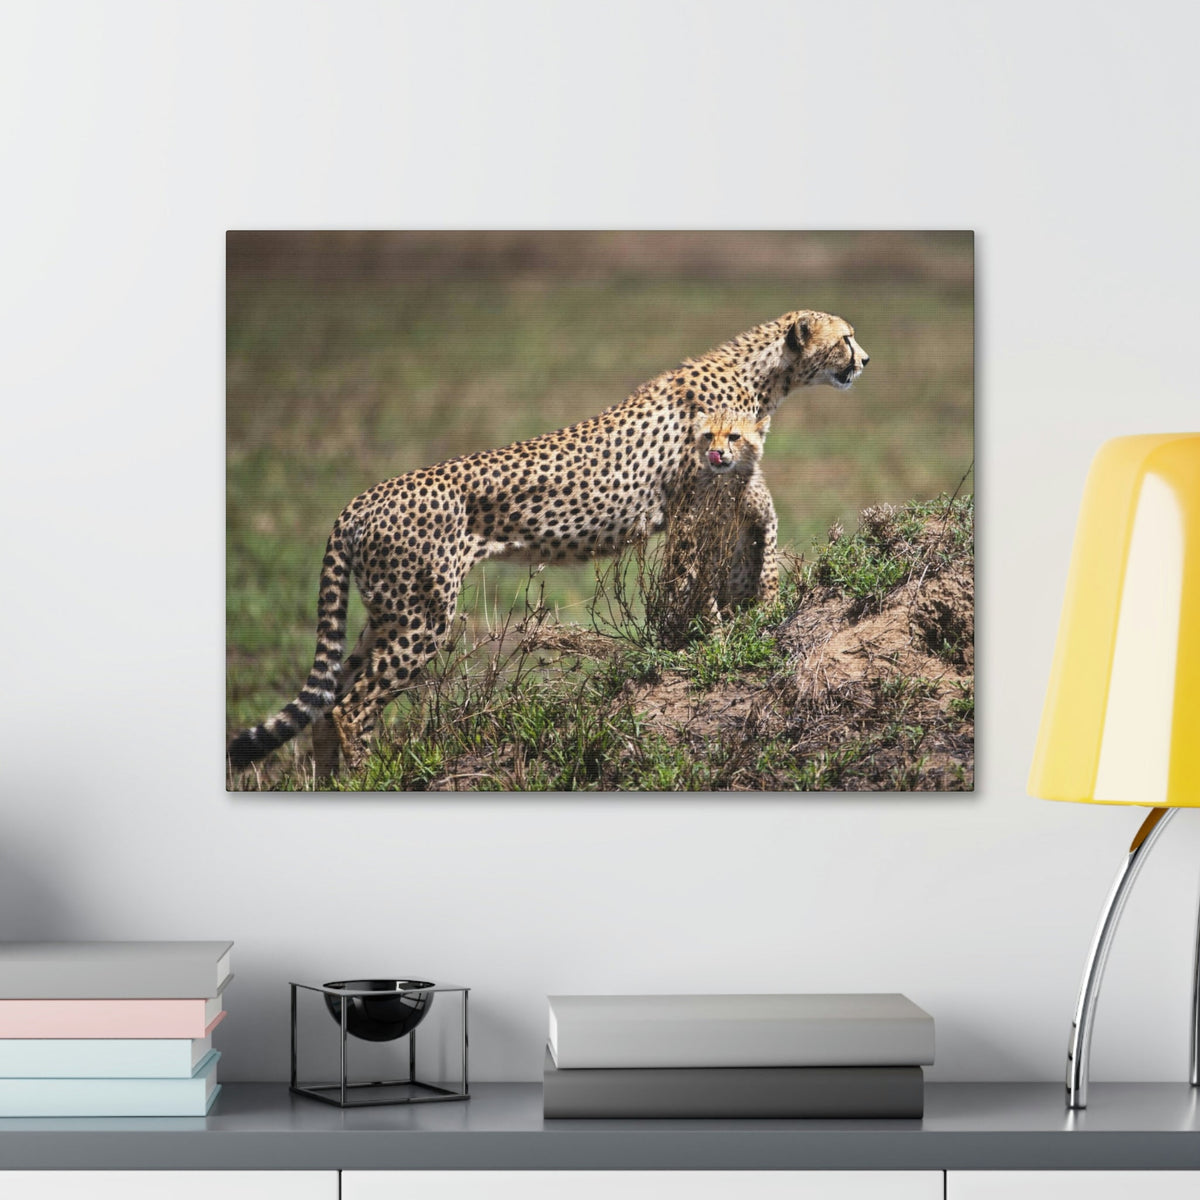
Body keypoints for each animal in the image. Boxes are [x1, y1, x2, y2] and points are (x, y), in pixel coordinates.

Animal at [227, 309, 869, 778]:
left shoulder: (734, 485)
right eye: (846, 337)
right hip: (421, 617)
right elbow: (693, 578)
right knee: (352, 706)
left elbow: (757, 533)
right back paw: (365, 778)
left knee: (331, 698)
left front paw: (757, 608)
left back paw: (332, 781)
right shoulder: (693, 505)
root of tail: (356, 503)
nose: (865, 359)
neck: (763, 375)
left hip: (388, 612)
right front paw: (707, 640)